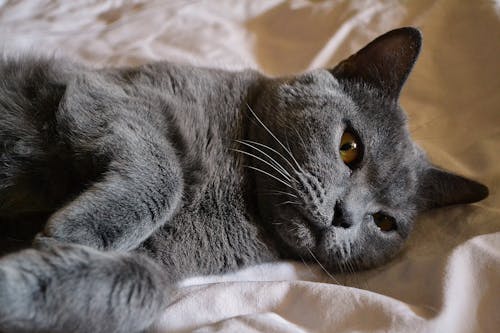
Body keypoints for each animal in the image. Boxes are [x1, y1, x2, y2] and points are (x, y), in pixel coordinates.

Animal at [0, 27, 486, 332]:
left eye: (384, 222)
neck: (238, 193)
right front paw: (77, 232)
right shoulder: (112, 95)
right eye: (350, 146)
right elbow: (164, 171)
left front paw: (26, 277)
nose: (344, 216)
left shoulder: (162, 260)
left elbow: (142, 285)